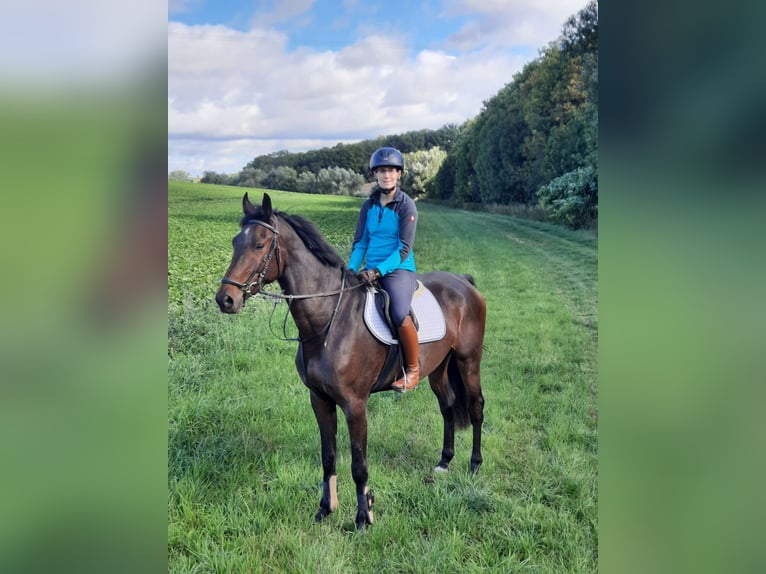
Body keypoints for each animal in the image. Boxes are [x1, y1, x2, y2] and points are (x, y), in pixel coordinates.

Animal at [215, 193, 486, 530]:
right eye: (235, 241)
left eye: (260, 244)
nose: (225, 299)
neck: (329, 320)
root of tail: (464, 282)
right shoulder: (319, 399)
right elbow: (328, 456)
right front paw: (325, 509)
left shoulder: (355, 405)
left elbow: (359, 463)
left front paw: (363, 517)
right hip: (438, 368)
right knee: (448, 406)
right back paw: (444, 462)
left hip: (468, 360)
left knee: (476, 407)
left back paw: (474, 466)